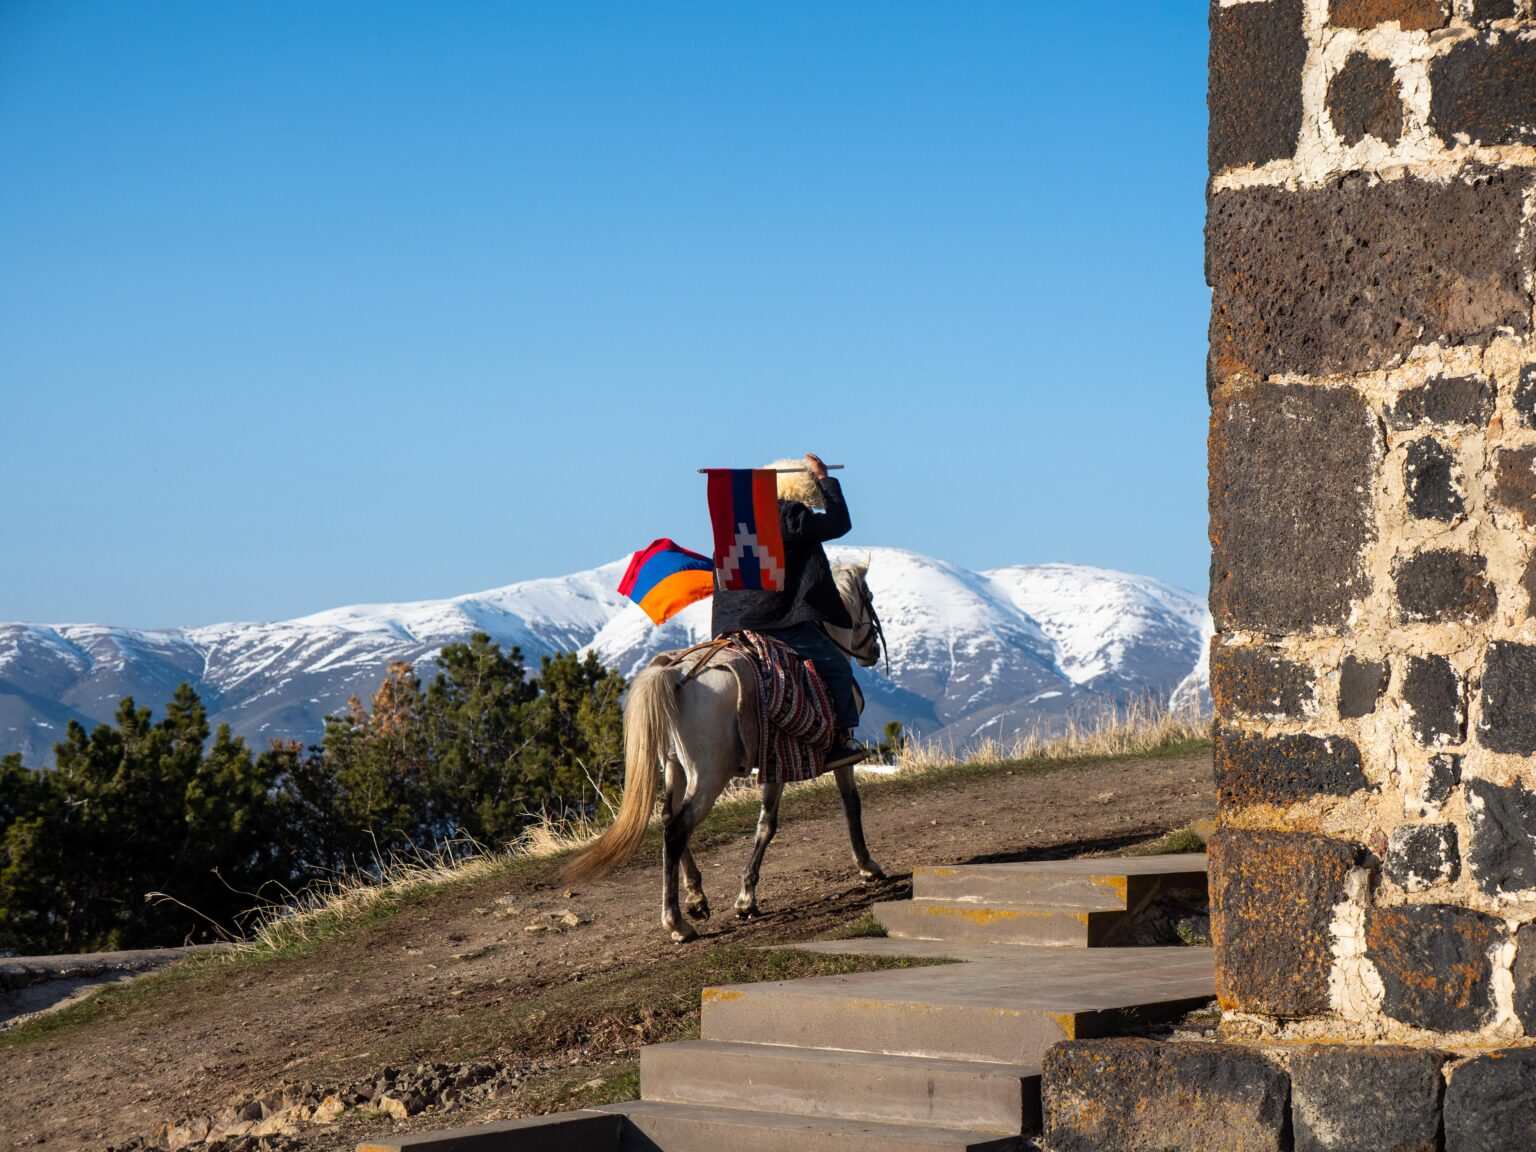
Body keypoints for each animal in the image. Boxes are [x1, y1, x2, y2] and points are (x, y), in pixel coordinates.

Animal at [562, 562, 886, 942]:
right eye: (868, 597)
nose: (873, 650)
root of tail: (674, 672)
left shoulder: (774, 760)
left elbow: (767, 823)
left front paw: (746, 898)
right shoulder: (812, 754)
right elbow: (844, 805)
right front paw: (867, 866)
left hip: (674, 766)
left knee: (668, 817)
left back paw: (696, 898)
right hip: (709, 775)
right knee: (677, 828)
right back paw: (676, 922)